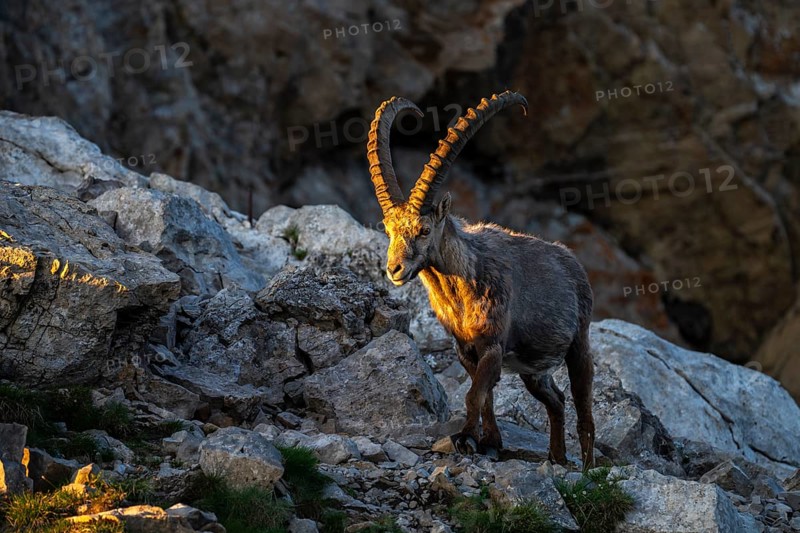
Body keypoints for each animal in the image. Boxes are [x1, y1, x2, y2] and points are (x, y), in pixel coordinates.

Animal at [366, 91, 595, 467]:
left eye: (424, 229)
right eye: (388, 230)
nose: (394, 269)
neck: (461, 286)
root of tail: (574, 262)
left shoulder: (492, 345)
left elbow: (475, 395)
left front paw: (466, 438)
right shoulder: (465, 349)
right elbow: (483, 394)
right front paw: (489, 441)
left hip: (579, 343)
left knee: (583, 406)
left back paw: (589, 467)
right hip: (533, 370)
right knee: (557, 401)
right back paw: (557, 458)